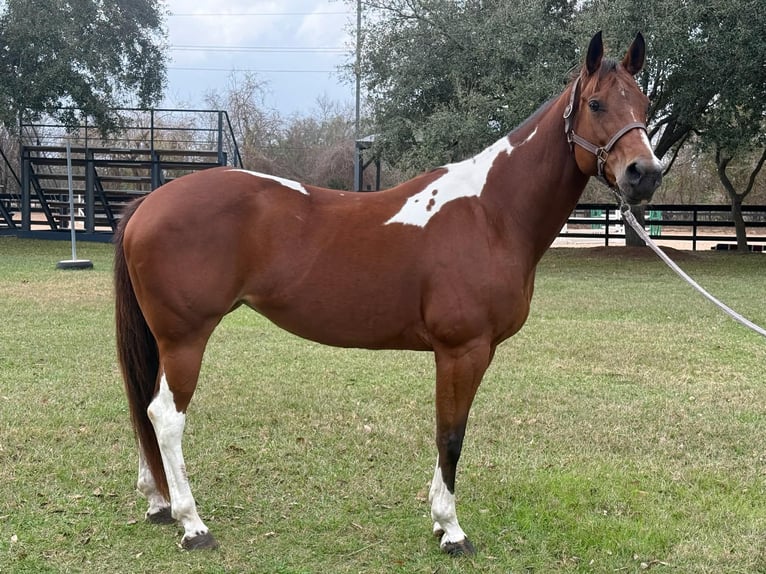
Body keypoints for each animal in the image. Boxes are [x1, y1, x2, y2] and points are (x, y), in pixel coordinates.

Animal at [114, 32, 662, 555]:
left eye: (645, 103)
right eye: (596, 104)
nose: (645, 173)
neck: (491, 213)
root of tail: (148, 203)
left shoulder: (468, 352)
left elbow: (449, 432)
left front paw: (441, 524)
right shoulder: (462, 350)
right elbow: (451, 434)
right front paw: (451, 529)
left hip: (168, 342)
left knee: (144, 406)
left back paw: (159, 503)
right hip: (186, 338)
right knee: (166, 416)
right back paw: (192, 524)